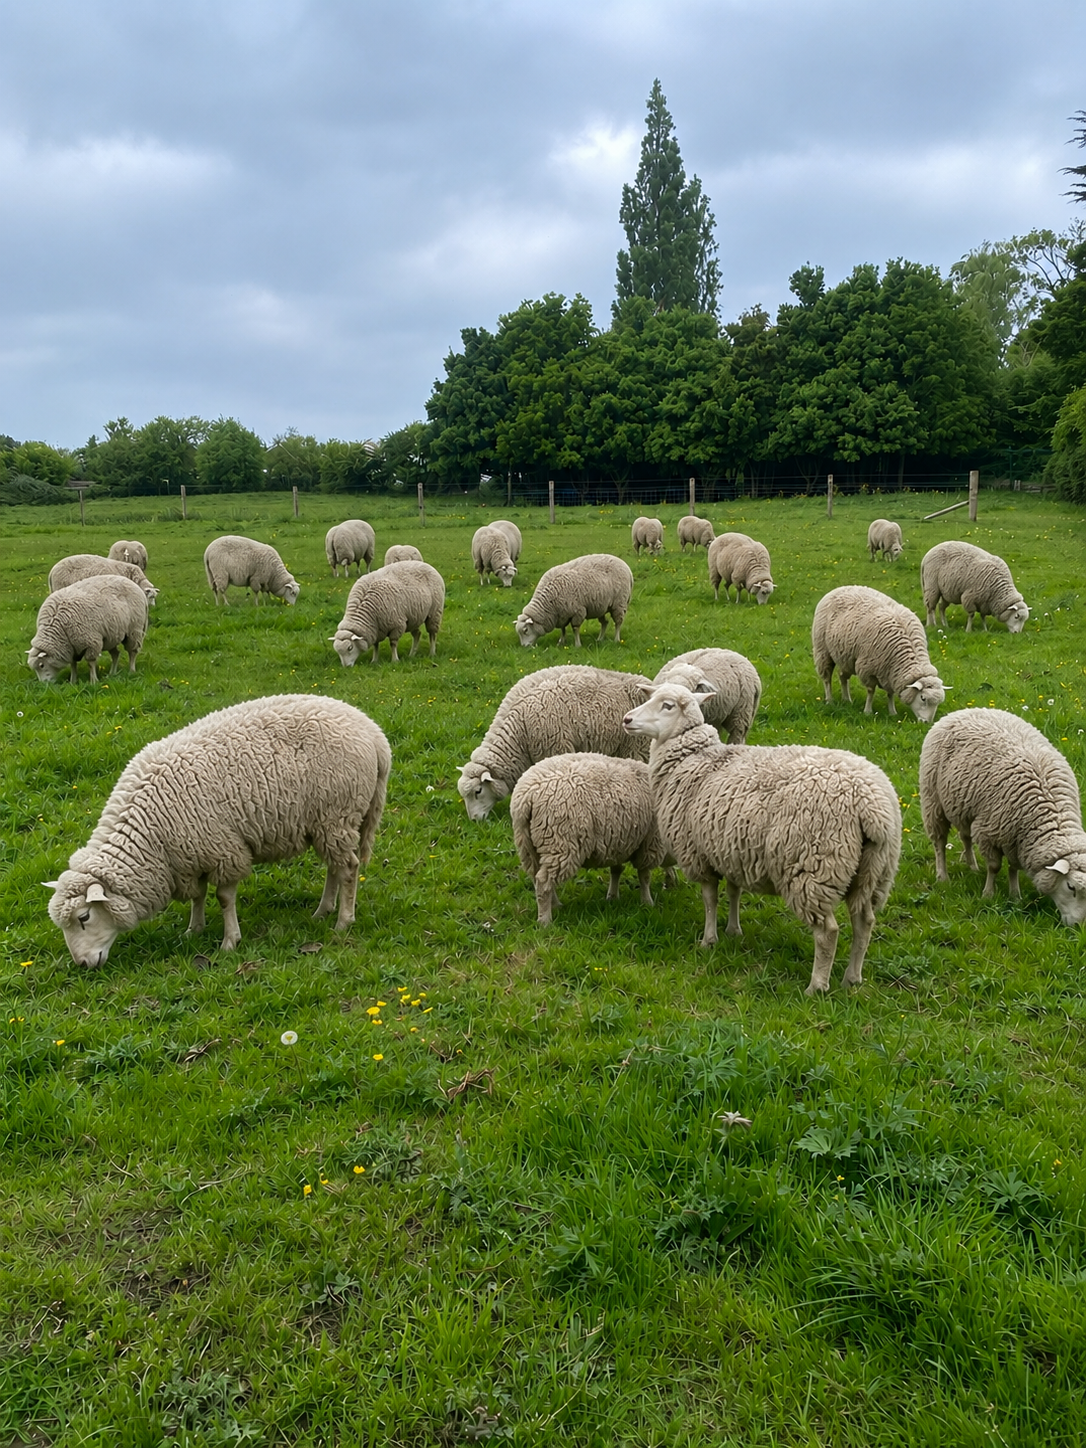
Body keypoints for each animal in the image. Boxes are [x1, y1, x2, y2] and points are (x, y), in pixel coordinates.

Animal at [44, 694, 391, 964]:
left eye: (84, 917)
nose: (83, 964)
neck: (150, 839)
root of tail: (375, 735)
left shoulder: (223, 849)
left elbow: (223, 897)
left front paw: (229, 942)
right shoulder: (189, 854)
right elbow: (198, 895)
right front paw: (193, 930)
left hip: (337, 814)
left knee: (348, 868)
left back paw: (343, 921)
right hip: (326, 823)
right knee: (335, 866)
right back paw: (323, 911)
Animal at [511, 753, 670, 924]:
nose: (672, 884)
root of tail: (528, 794)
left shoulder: (618, 841)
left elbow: (616, 870)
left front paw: (612, 897)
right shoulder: (650, 843)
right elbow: (644, 876)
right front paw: (647, 902)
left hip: (529, 846)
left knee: (537, 877)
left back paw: (555, 906)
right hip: (560, 842)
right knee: (543, 882)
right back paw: (545, 921)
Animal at [622, 683, 902, 992]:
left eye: (668, 705)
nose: (627, 720)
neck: (693, 758)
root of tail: (870, 803)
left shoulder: (698, 854)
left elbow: (710, 900)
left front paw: (709, 940)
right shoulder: (730, 848)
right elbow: (733, 892)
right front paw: (733, 930)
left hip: (814, 867)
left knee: (827, 932)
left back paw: (816, 987)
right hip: (875, 870)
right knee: (864, 922)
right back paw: (852, 978)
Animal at [812, 585, 945, 722]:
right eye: (923, 698)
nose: (926, 722)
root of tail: (838, 588)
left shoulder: (890, 672)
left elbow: (890, 693)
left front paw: (892, 712)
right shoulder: (867, 668)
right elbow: (871, 691)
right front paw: (868, 711)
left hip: (845, 656)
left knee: (843, 676)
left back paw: (847, 699)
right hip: (822, 650)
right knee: (826, 677)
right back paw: (829, 700)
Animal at [919, 707, 1086, 924]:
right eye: (1071, 887)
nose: (1078, 925)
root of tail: (964, 710)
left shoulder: (1016, 838)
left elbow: (1013, 867)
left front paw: (1015, 895)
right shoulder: (989, 832)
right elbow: (994, 866)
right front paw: (988, 894)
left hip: (963, 806)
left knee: (965, 836)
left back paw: (972, 866)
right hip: (933, 800)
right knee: (939, 842)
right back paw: (943, 877)